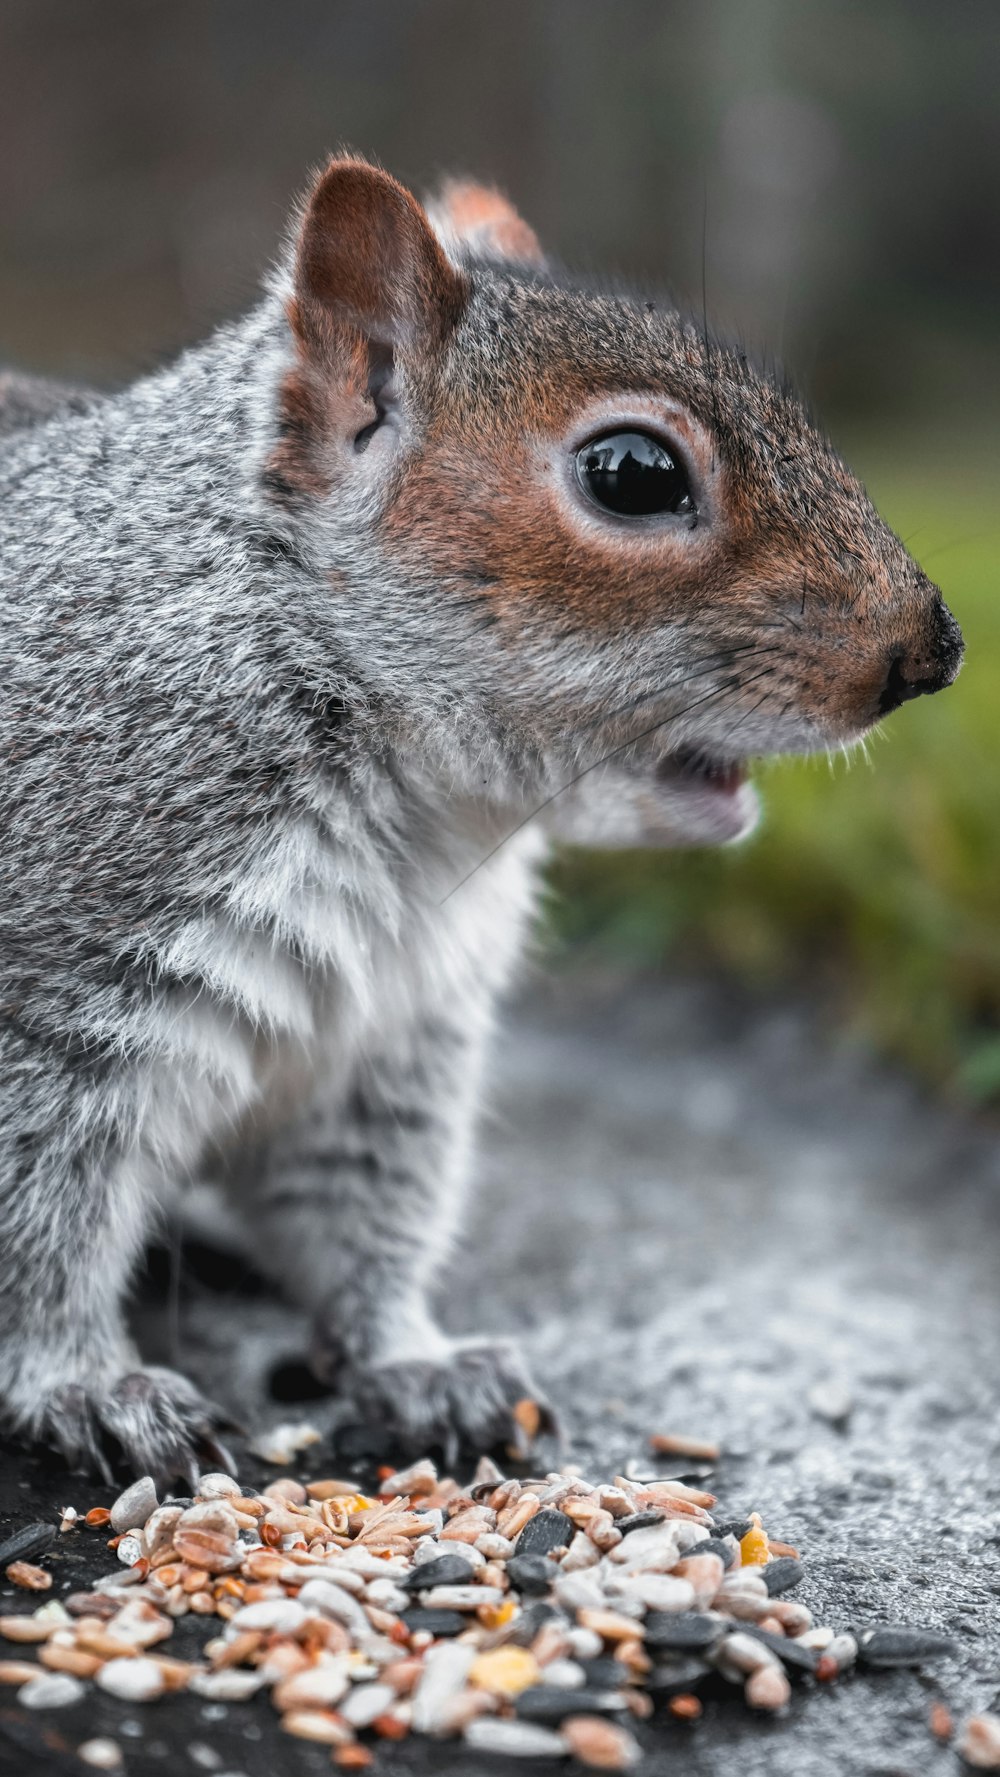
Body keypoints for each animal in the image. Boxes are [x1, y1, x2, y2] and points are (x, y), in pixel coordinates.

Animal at [1, 156, 973, 1485]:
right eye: (633, 473)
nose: (930, 653)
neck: (413, 829)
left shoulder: (391, 1042)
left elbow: (366, 1217)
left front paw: (418, 1359)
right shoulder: (54, 1010)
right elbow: (42, 1234)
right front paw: (92, 1384)